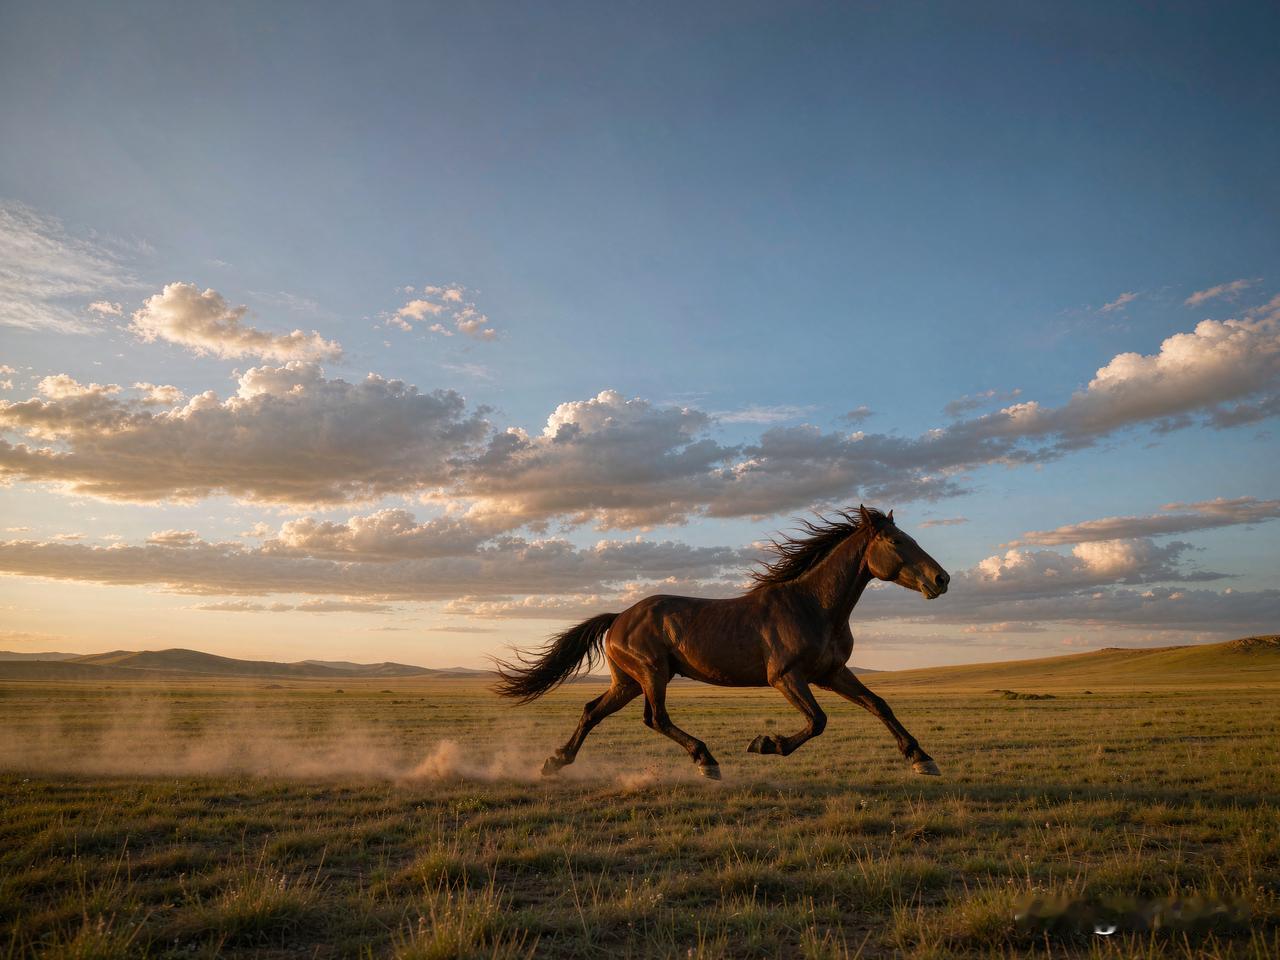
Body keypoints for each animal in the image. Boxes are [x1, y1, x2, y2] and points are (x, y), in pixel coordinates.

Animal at [494, 505, 949, 780]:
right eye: (896, 541)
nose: (942, 578)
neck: (814, 606)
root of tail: (618, 618)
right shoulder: (787, 678)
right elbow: (818, 721)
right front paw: (765, 744)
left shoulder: (832, 673)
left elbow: (879, 705)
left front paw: (922, 759)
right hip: (652, 674)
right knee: (656, 718)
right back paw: (706, 760)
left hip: (628, 681)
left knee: (594, 711)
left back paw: (556, 761)